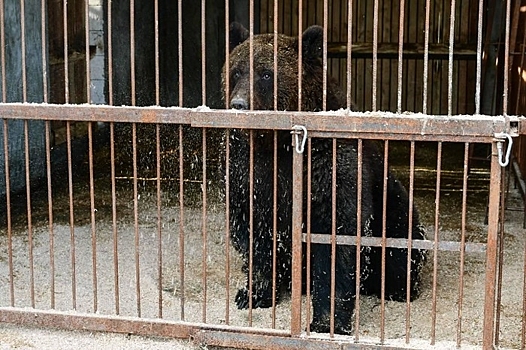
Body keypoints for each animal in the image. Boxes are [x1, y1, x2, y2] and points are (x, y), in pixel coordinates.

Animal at [224, 22, 428, 336]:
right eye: (236, 71)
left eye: (266, 74)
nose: (238, 104)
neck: (278, 142)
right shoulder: (250, 170)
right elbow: (253, 229)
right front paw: (253, 293)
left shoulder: (330, 161)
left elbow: (336, 235)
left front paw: (325, 320)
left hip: (394, 207)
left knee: (401, 250)